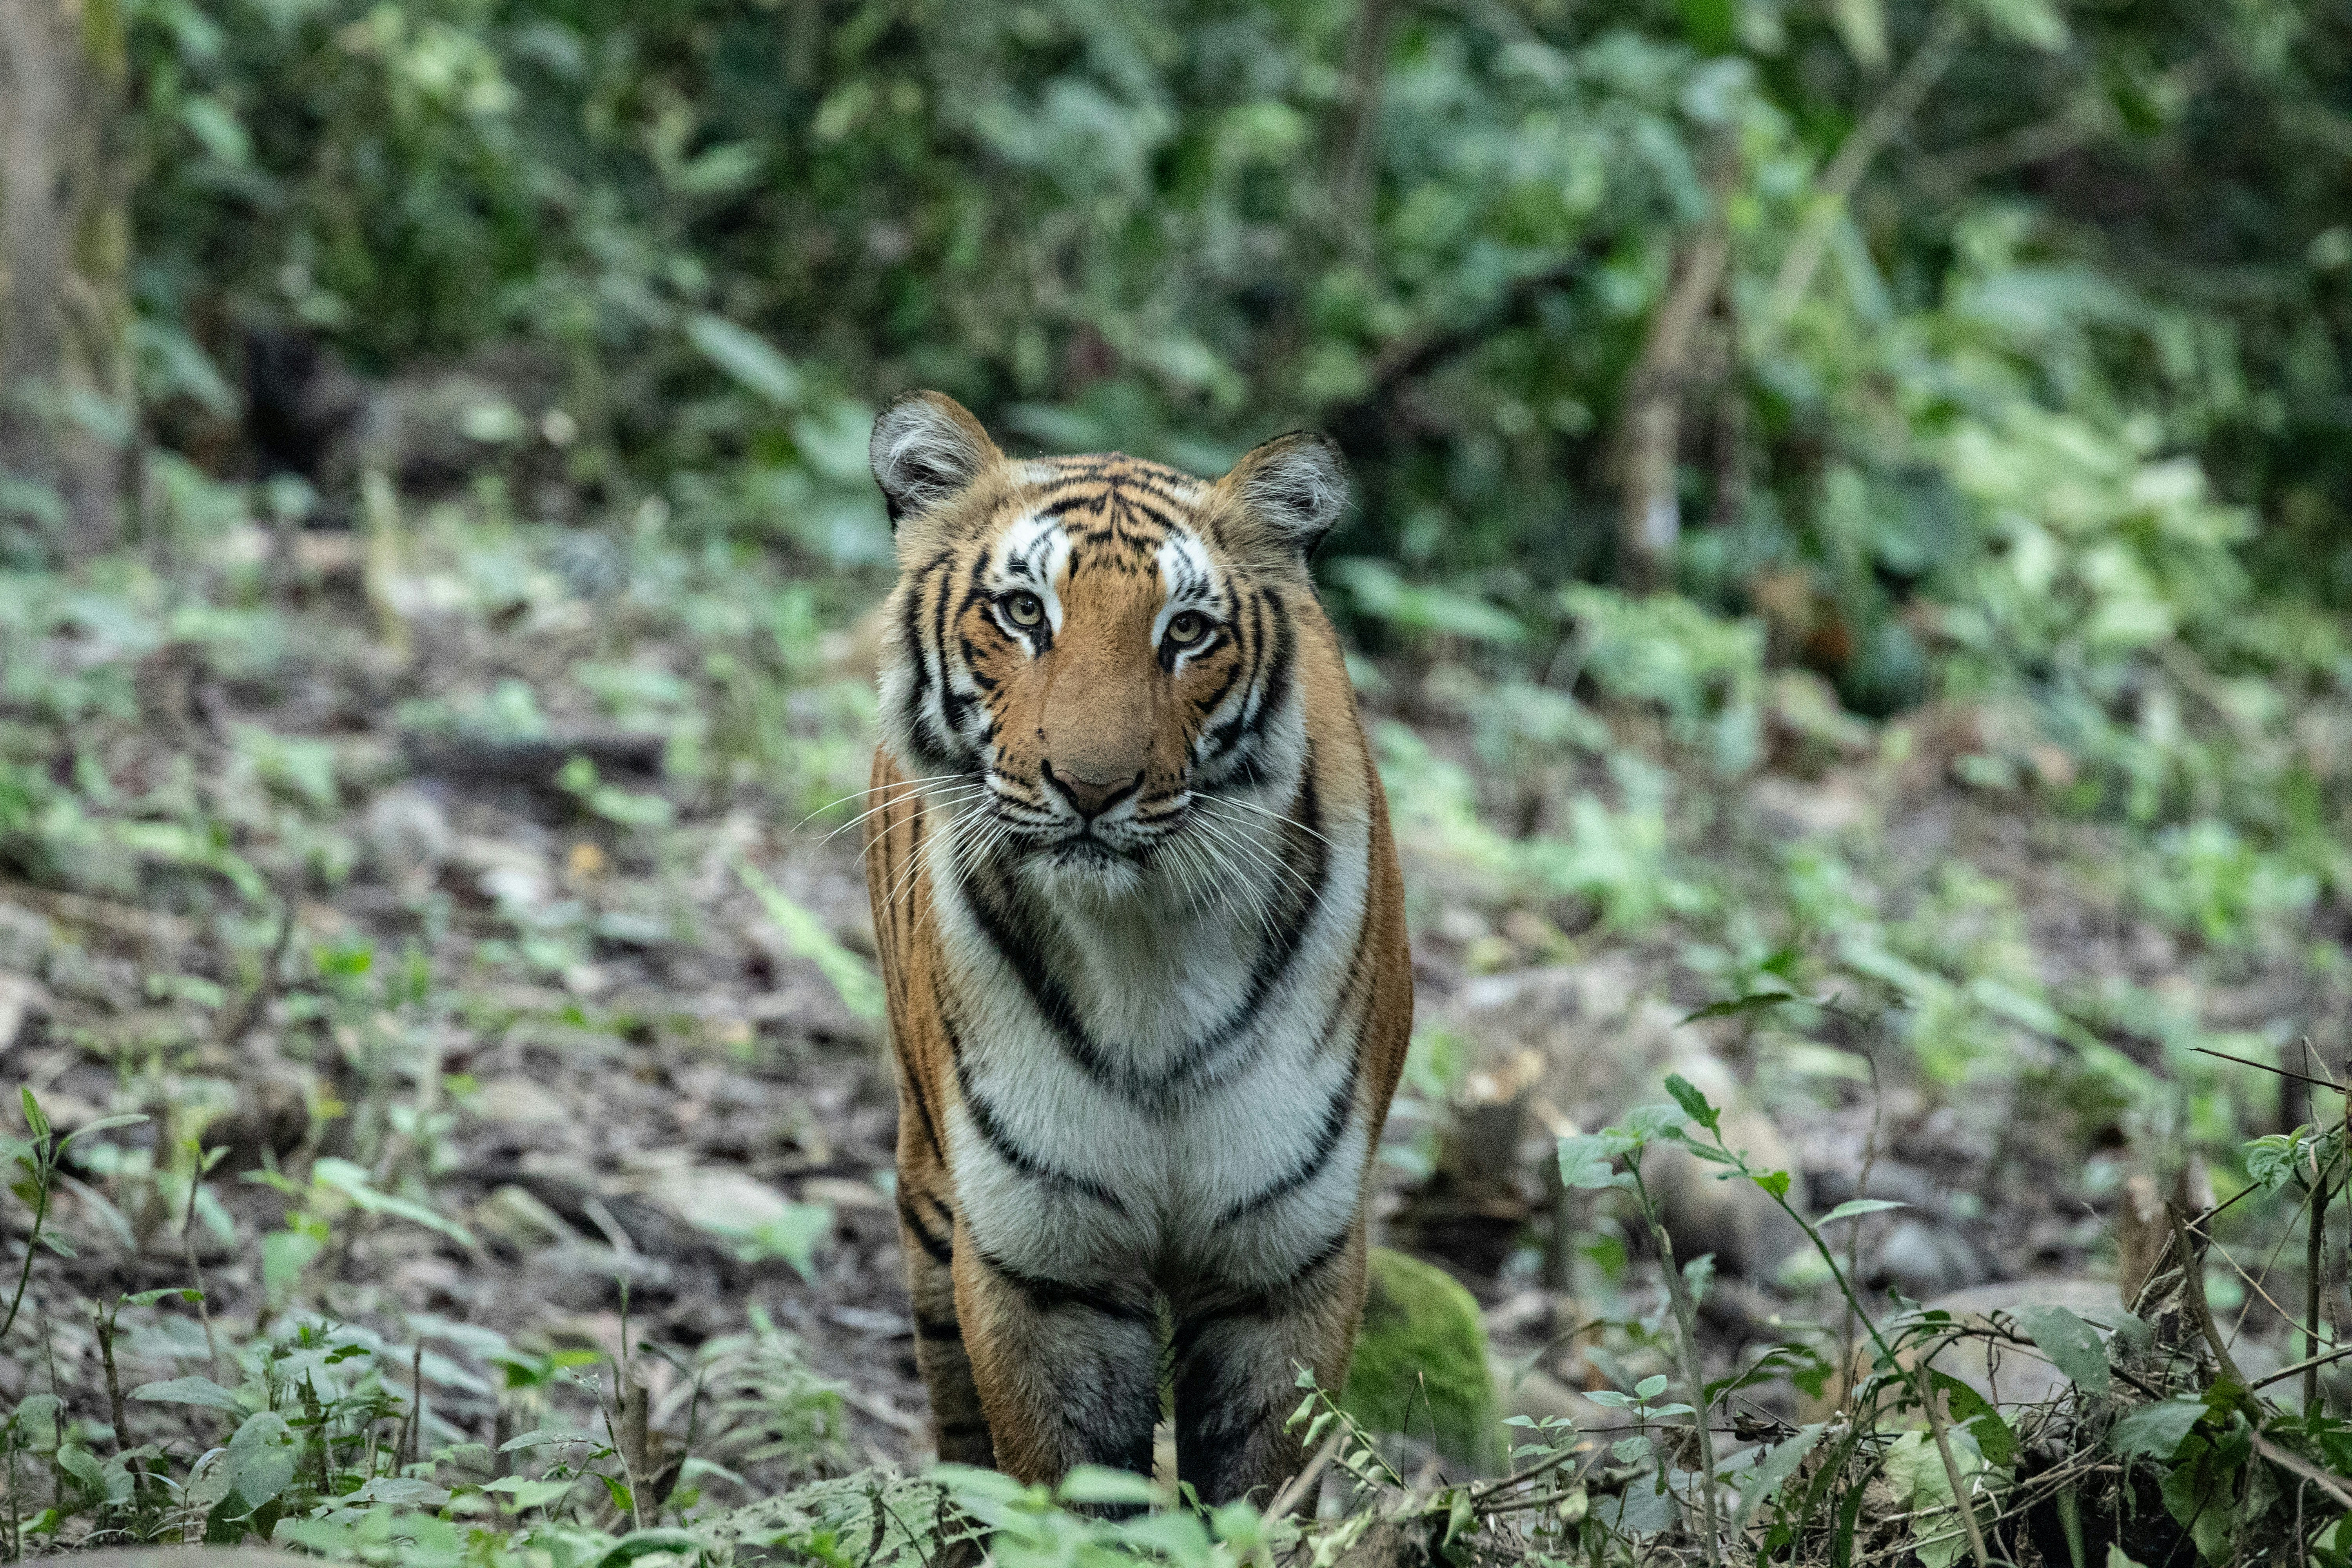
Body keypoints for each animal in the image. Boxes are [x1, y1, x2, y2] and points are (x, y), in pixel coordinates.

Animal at [857, 391, 1414, 1507]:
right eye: (1025, 612)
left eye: (1187, 631)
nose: (1091, 786)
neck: (1142, 948)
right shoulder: (1043, 1259)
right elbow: (1068, 1494)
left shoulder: (1286, 1259)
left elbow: (1259, 1494)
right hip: (931, 1188)